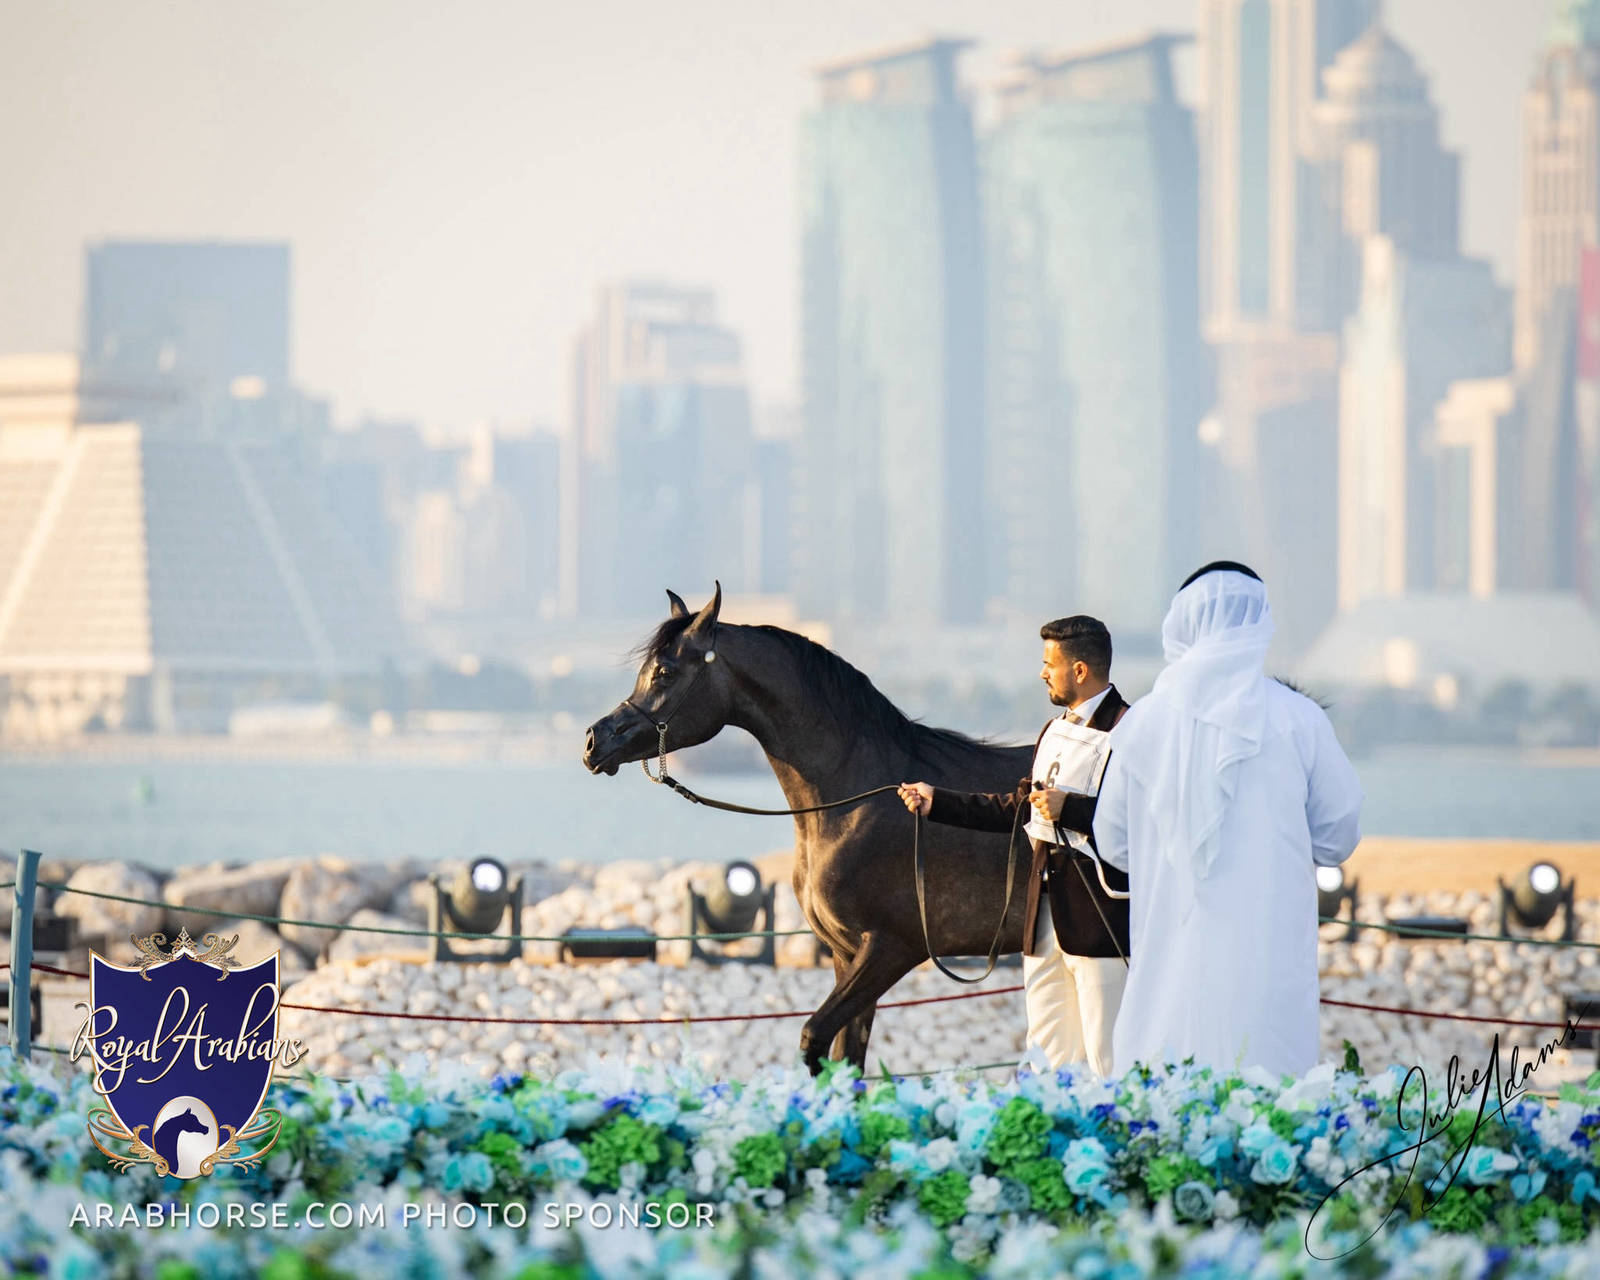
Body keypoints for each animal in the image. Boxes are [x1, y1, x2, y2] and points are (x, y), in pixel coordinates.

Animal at [581, 583, 1035, 1077]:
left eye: (664, 672)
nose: (594, 742)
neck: (856, 802)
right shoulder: (846, 953)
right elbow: (847, 1059)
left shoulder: (892, 948)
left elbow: (814, 1038)